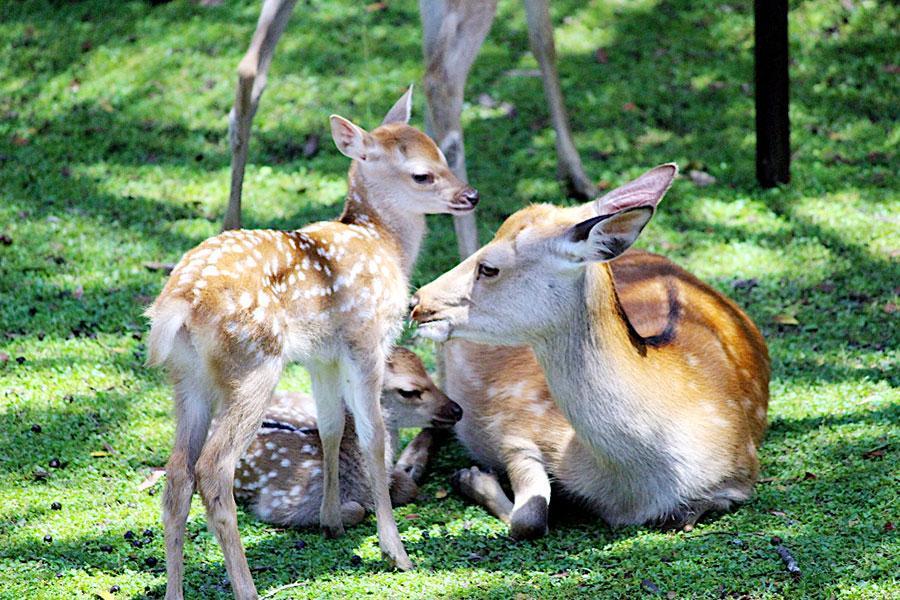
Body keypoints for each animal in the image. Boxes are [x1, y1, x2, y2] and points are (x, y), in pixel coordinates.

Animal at [230, 347, 462, 529]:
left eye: (427, 370)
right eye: (408, 391)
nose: (457, 410)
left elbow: (409, 485)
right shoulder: (279, 503)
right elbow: (355, 510)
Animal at [410, 164, 770, 538]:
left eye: (489, 267)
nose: (417, 300)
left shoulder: (739, 477)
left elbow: (681, 518)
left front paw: (472, 478)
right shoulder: (514, 426)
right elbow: (530, 518)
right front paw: (472, 477)